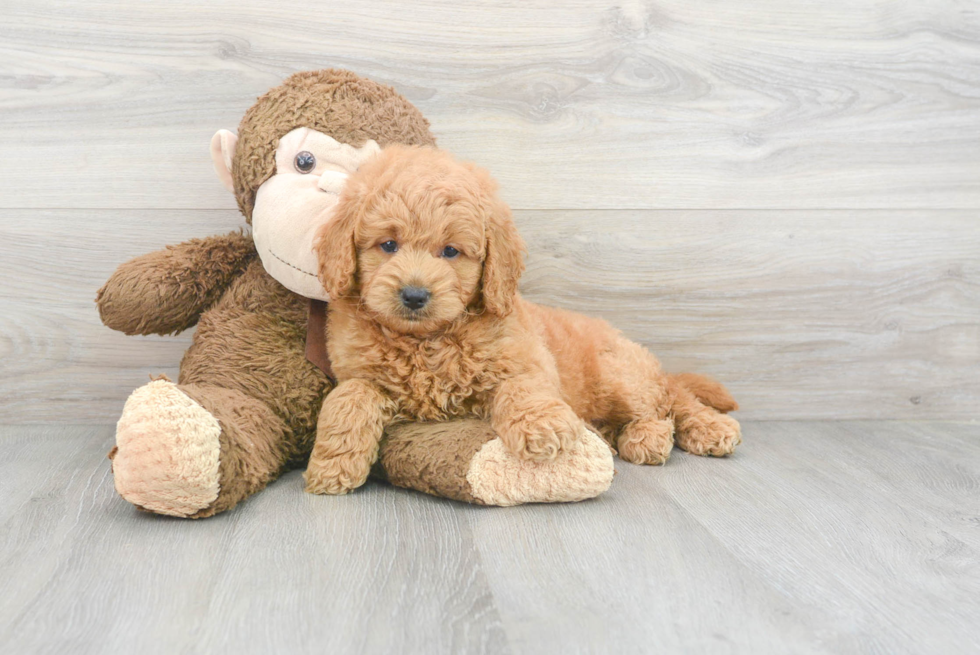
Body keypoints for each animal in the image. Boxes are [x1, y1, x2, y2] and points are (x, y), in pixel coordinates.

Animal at [302, 147, 740, 498]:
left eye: (450, 251)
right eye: (388, 244)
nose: (413, 295)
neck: (427, 340)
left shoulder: (526, 359)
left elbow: (521, 387)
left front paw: (542, 428)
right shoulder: (358, 373)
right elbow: (348, 399)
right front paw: (331, 466)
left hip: (619, 375)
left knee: (668, 400)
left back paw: (684, 431)